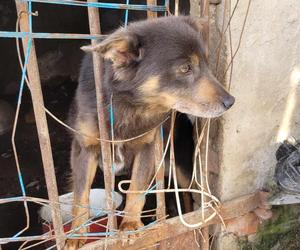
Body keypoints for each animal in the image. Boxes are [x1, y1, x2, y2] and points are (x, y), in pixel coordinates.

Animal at [66, 15, 234, 248]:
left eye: (206, 65)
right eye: (185, 68)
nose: (231, 102)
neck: (129, 105)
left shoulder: (147, 147)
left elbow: (136, 187)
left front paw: (129, 224)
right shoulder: (84, 149)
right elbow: (81, 196)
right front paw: (76, 234)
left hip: (181, 167)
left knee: (188, 197)